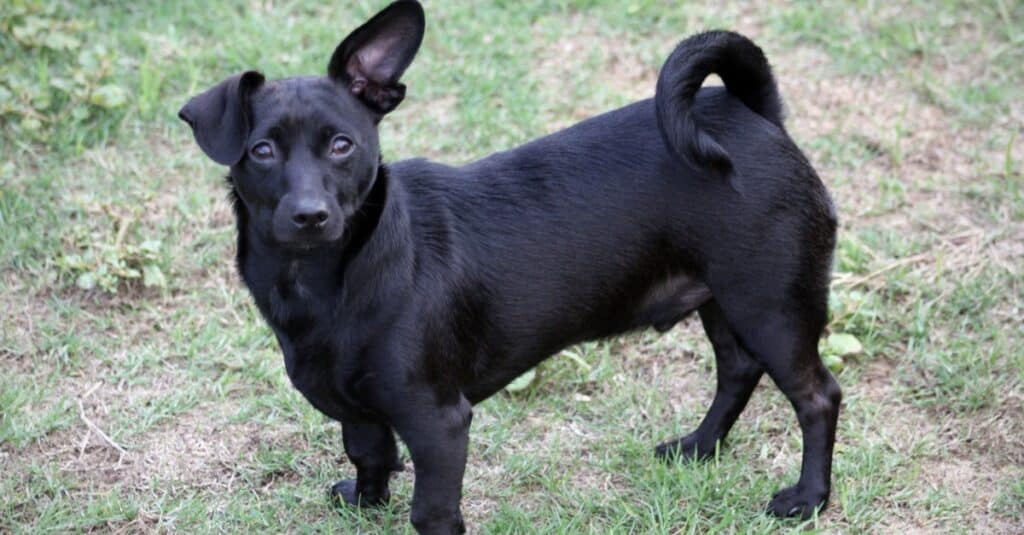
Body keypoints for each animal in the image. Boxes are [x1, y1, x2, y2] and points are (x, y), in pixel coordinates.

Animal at [182, 2, 839, 528]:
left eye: (342, 145)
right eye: (261, 150)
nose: (310, 215)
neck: (325, 281)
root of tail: (756, 115)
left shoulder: (439, 424)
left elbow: (431, 511)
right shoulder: (358, 411)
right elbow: (369, 455)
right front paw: (367, 503)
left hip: (772, 306)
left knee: (817, 397)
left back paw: (808, 498)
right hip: (724, 300)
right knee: (737, 371)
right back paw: (700, 446)